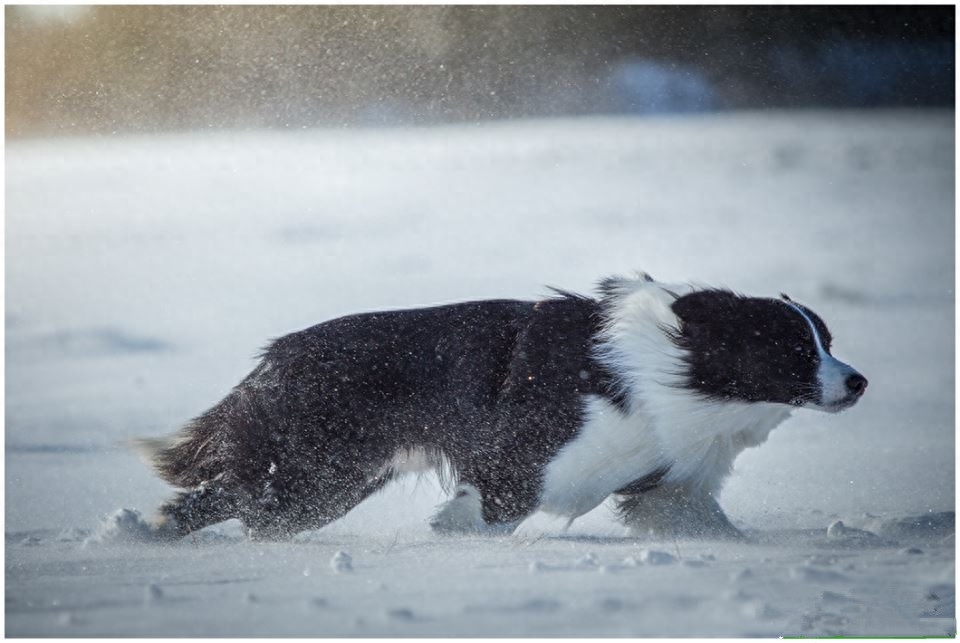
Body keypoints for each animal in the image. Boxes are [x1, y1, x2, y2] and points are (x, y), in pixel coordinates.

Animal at [133, 274, 864, 540]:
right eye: (794, 349)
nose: (858, 382)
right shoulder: (522, 461)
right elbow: (493, 508)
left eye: (826, 339)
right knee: (230, 501)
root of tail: (274, 357)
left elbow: (702, 519)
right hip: (318, 476)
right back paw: (135, 534)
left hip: (329, 483)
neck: (678, 373)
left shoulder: (669, 485)